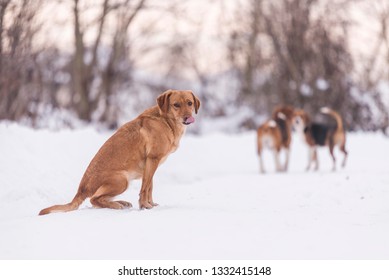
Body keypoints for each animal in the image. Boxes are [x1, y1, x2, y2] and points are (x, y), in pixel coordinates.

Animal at [39, 89, 200, 214]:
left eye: (189, 103)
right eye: (176, 105)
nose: (188, 117)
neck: (166, 121)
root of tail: (81, 190)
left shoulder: (150, 165)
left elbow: (149, 188)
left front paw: (151, 204)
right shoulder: (152, 160)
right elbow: (145, 188)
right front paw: (145, 206)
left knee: (99, 199)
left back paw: (121, 202)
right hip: (122, 180)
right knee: (94, 200)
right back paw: (117, 205)